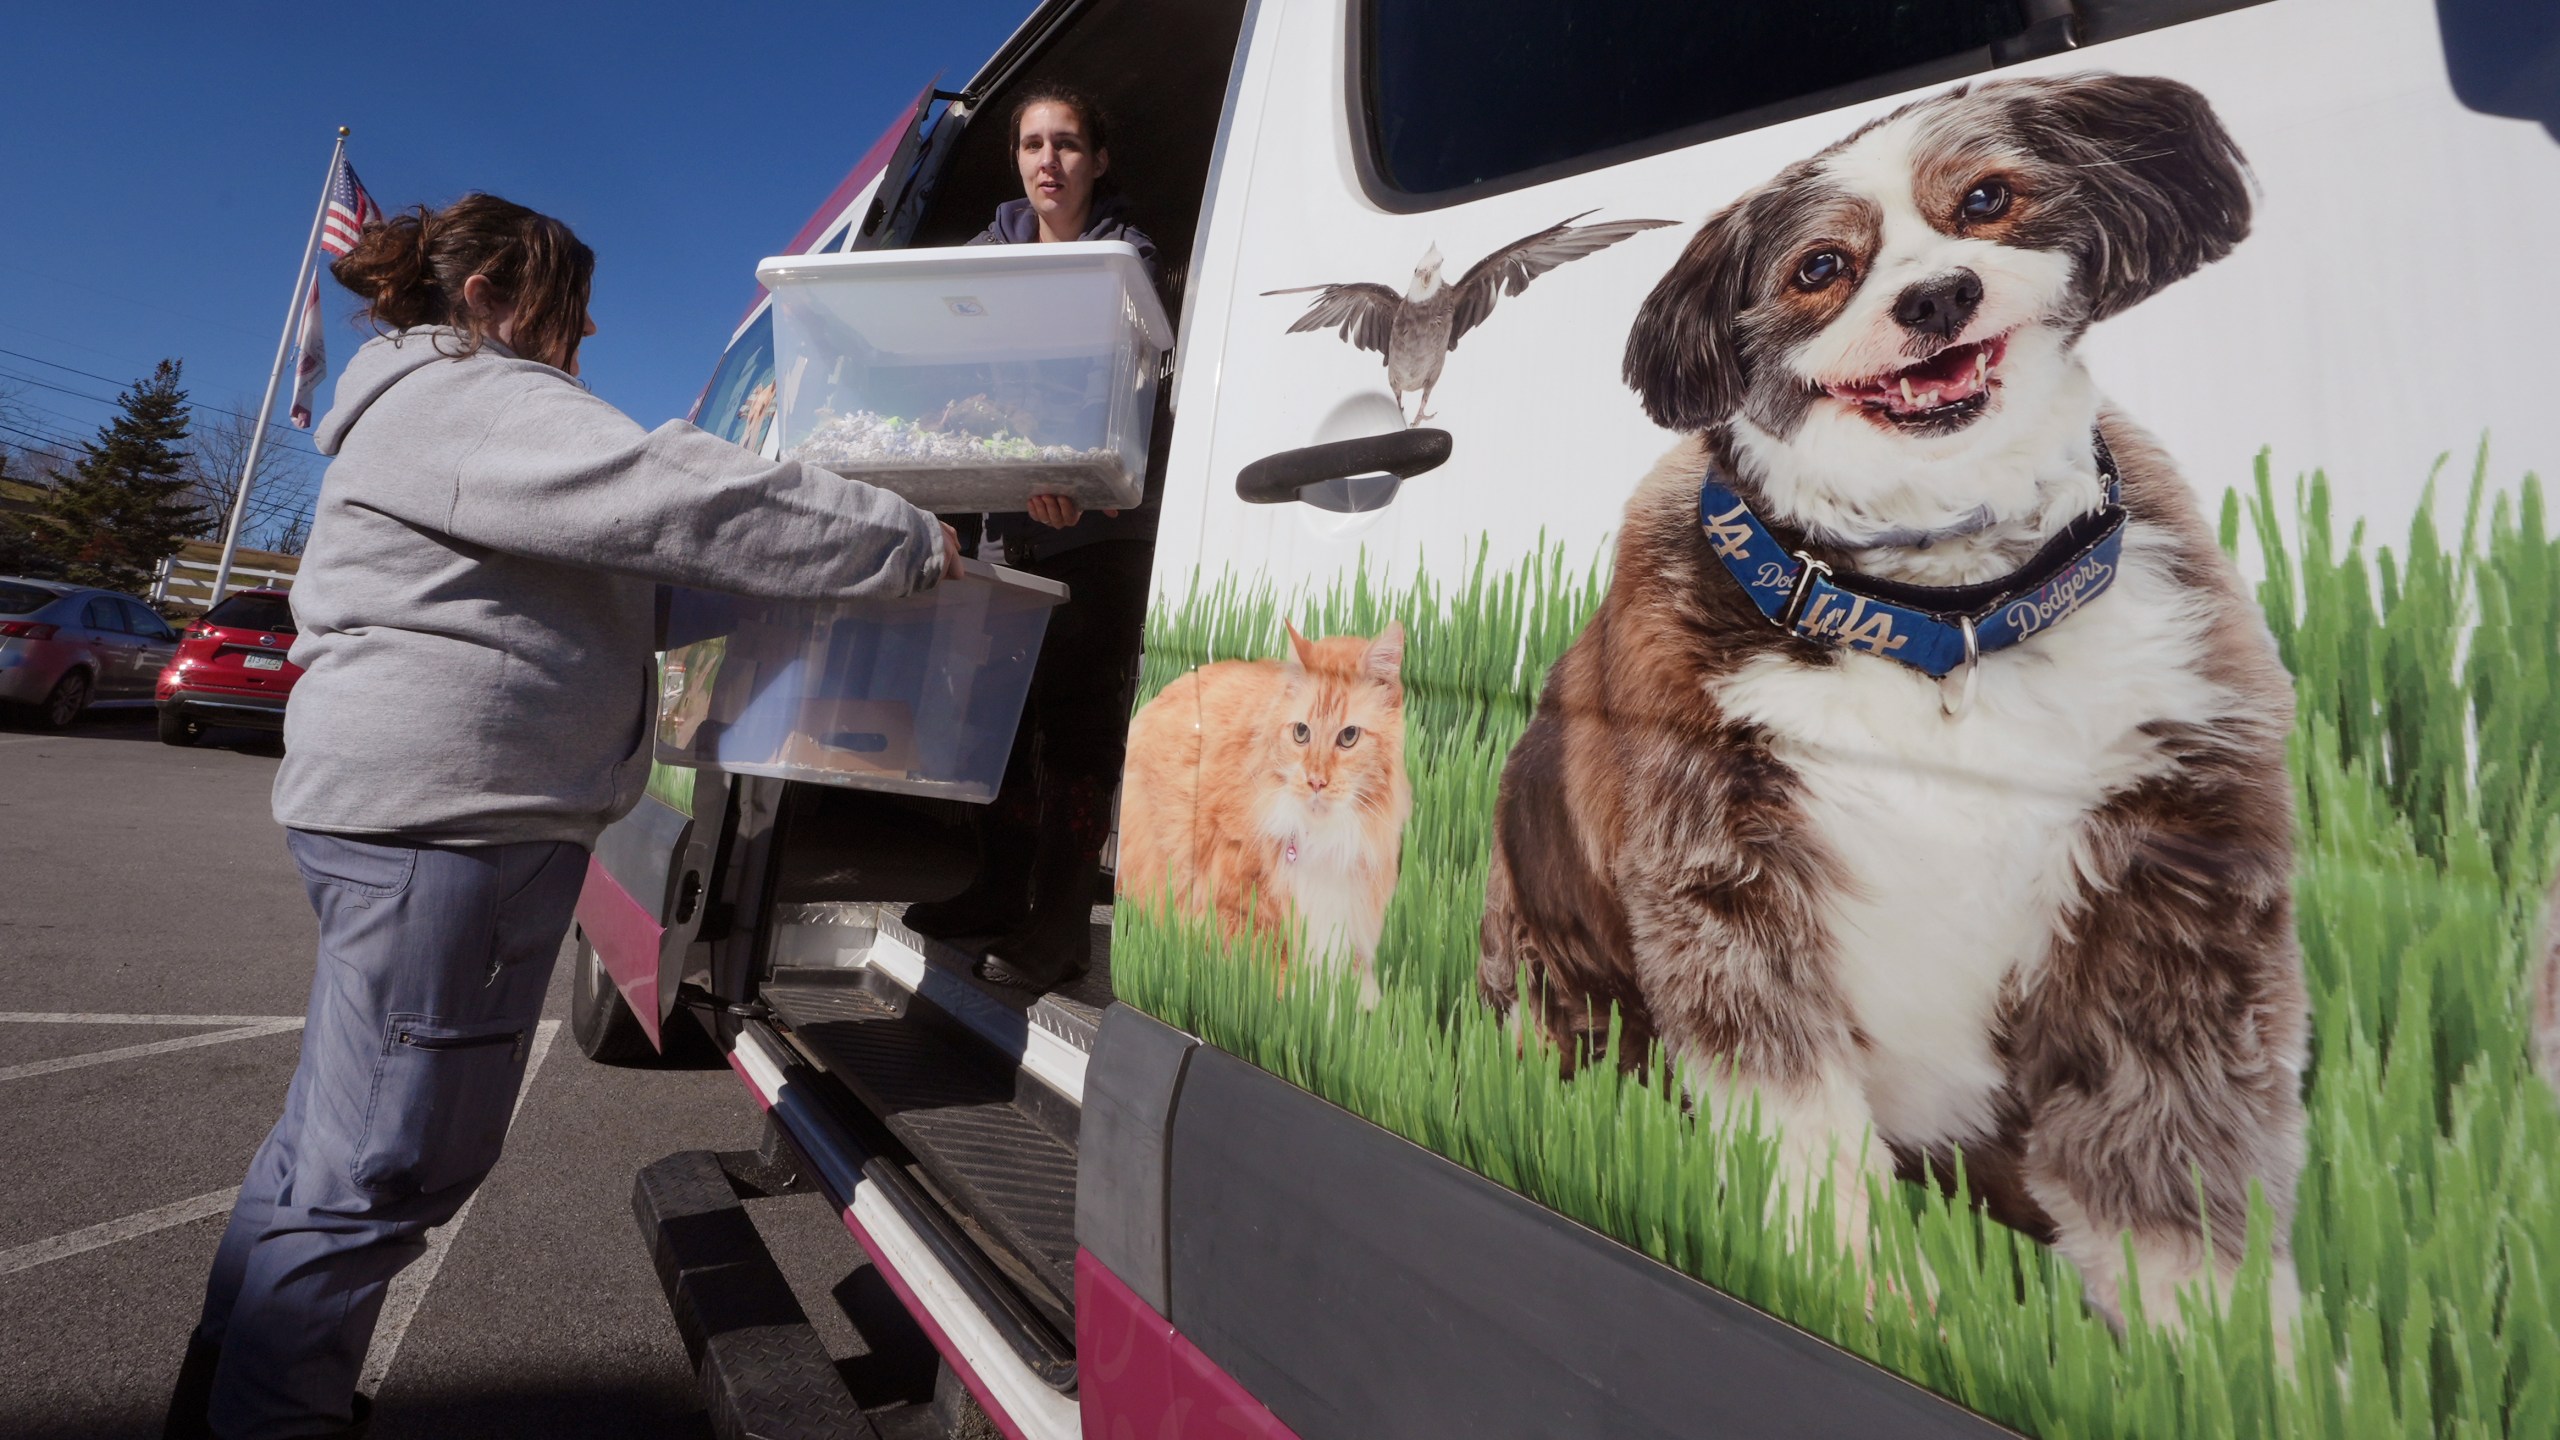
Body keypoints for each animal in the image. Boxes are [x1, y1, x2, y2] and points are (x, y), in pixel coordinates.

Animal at [1116, 622, 1413, 1004]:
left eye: (1348, 736)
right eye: (1301, 733)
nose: (1315, 781)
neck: (1321, 837)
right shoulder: (1224, 914)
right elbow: (1297, 984)